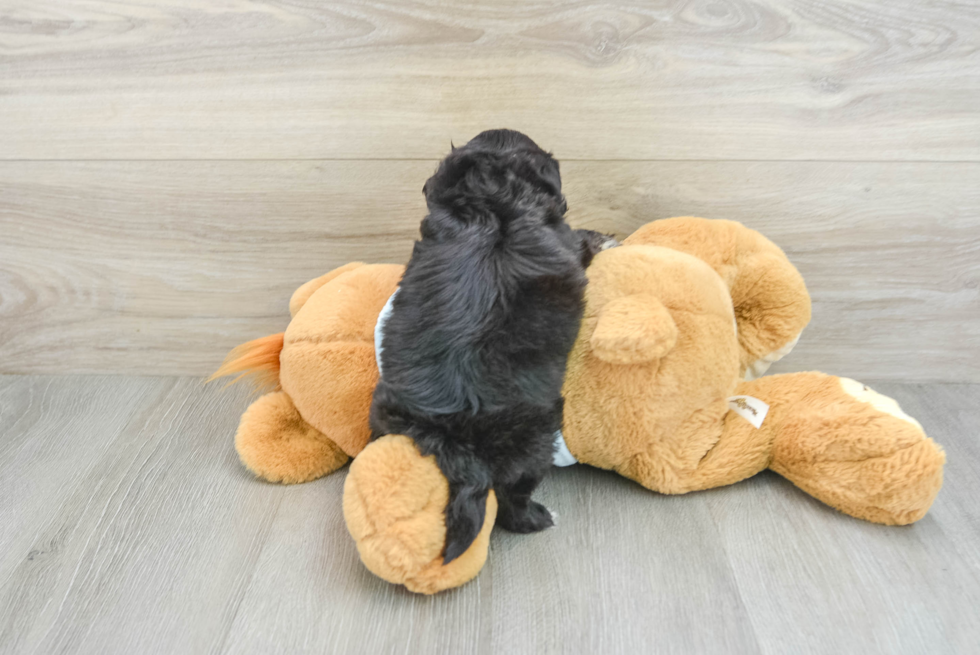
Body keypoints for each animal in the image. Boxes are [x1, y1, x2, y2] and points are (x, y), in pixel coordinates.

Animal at [370, 129, 592, 564]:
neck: (493, 204)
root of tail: (452, 435)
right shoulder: (564, 240)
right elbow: (580, 242)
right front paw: (602, 239)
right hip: (534, 444)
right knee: (513, 499)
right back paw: (539, 518)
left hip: (384, 410)